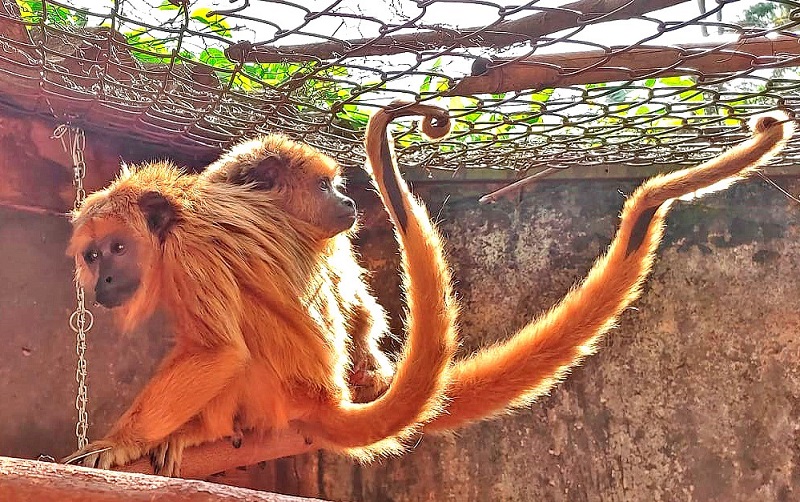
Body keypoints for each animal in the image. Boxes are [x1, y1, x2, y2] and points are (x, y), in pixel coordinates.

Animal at [63, 112, 460, 476]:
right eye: (93, 256)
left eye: (118, 248)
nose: (104, 281)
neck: (175, 218)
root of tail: (327, 396)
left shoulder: (191, 250)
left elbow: (217, 351)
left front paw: (120, 443)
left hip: (281, 392)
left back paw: (205, 430)